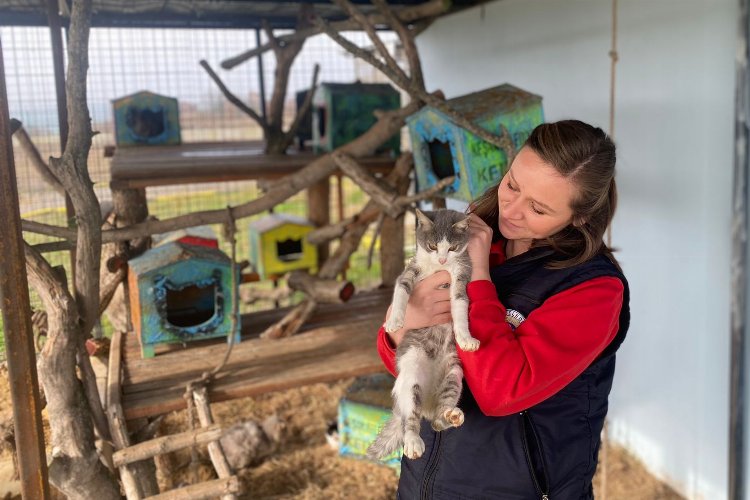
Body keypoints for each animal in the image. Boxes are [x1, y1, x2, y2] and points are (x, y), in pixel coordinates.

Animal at [368, 208, 482, 460]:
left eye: (452, 248)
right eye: (432, 246)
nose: (442, 259)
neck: (438, 268)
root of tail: (428, 403)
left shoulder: (461, 274)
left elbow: (460, 305)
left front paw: (466, 338)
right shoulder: (411, 269)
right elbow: (401, 289)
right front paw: (395, 320)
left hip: (454, 374)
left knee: (437, 421)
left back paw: (449, 415)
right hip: (411, 375)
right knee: (410, 417)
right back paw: (413, 441)